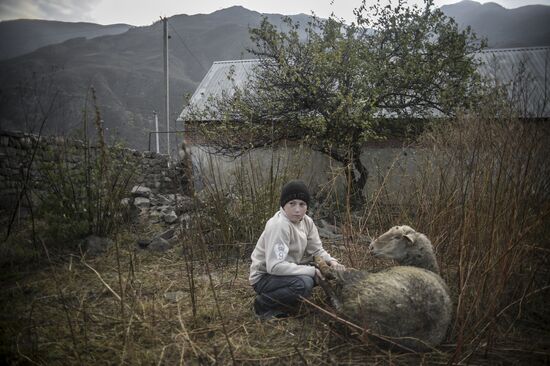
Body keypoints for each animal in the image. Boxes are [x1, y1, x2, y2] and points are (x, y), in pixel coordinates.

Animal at [314, 224, 452, 354]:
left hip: (360, 278)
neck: (427, 268)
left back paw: (319, 262)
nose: (371, 247)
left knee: (331, 273)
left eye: (397, 237)